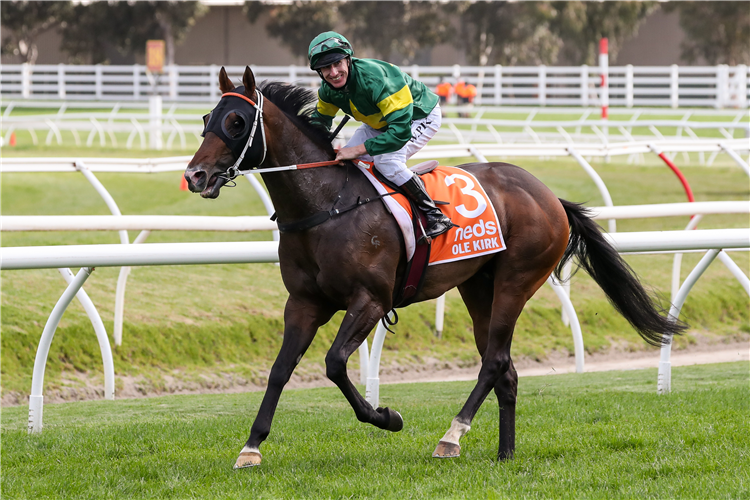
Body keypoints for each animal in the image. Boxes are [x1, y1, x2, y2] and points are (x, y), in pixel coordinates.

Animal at [185, 67, 684, 468]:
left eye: (237, 122)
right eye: (207, 119)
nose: (195, 176)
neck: (327, 203)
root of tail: (549, 196)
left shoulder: (370, 301)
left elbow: (334, 363)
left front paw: (387, 417)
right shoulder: (305, 302)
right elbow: (280, 369)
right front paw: (251, 447)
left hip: (516, 281)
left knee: (494, 361)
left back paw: (452, 436)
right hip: (478, 287)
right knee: (504, 369)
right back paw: (505, 453)